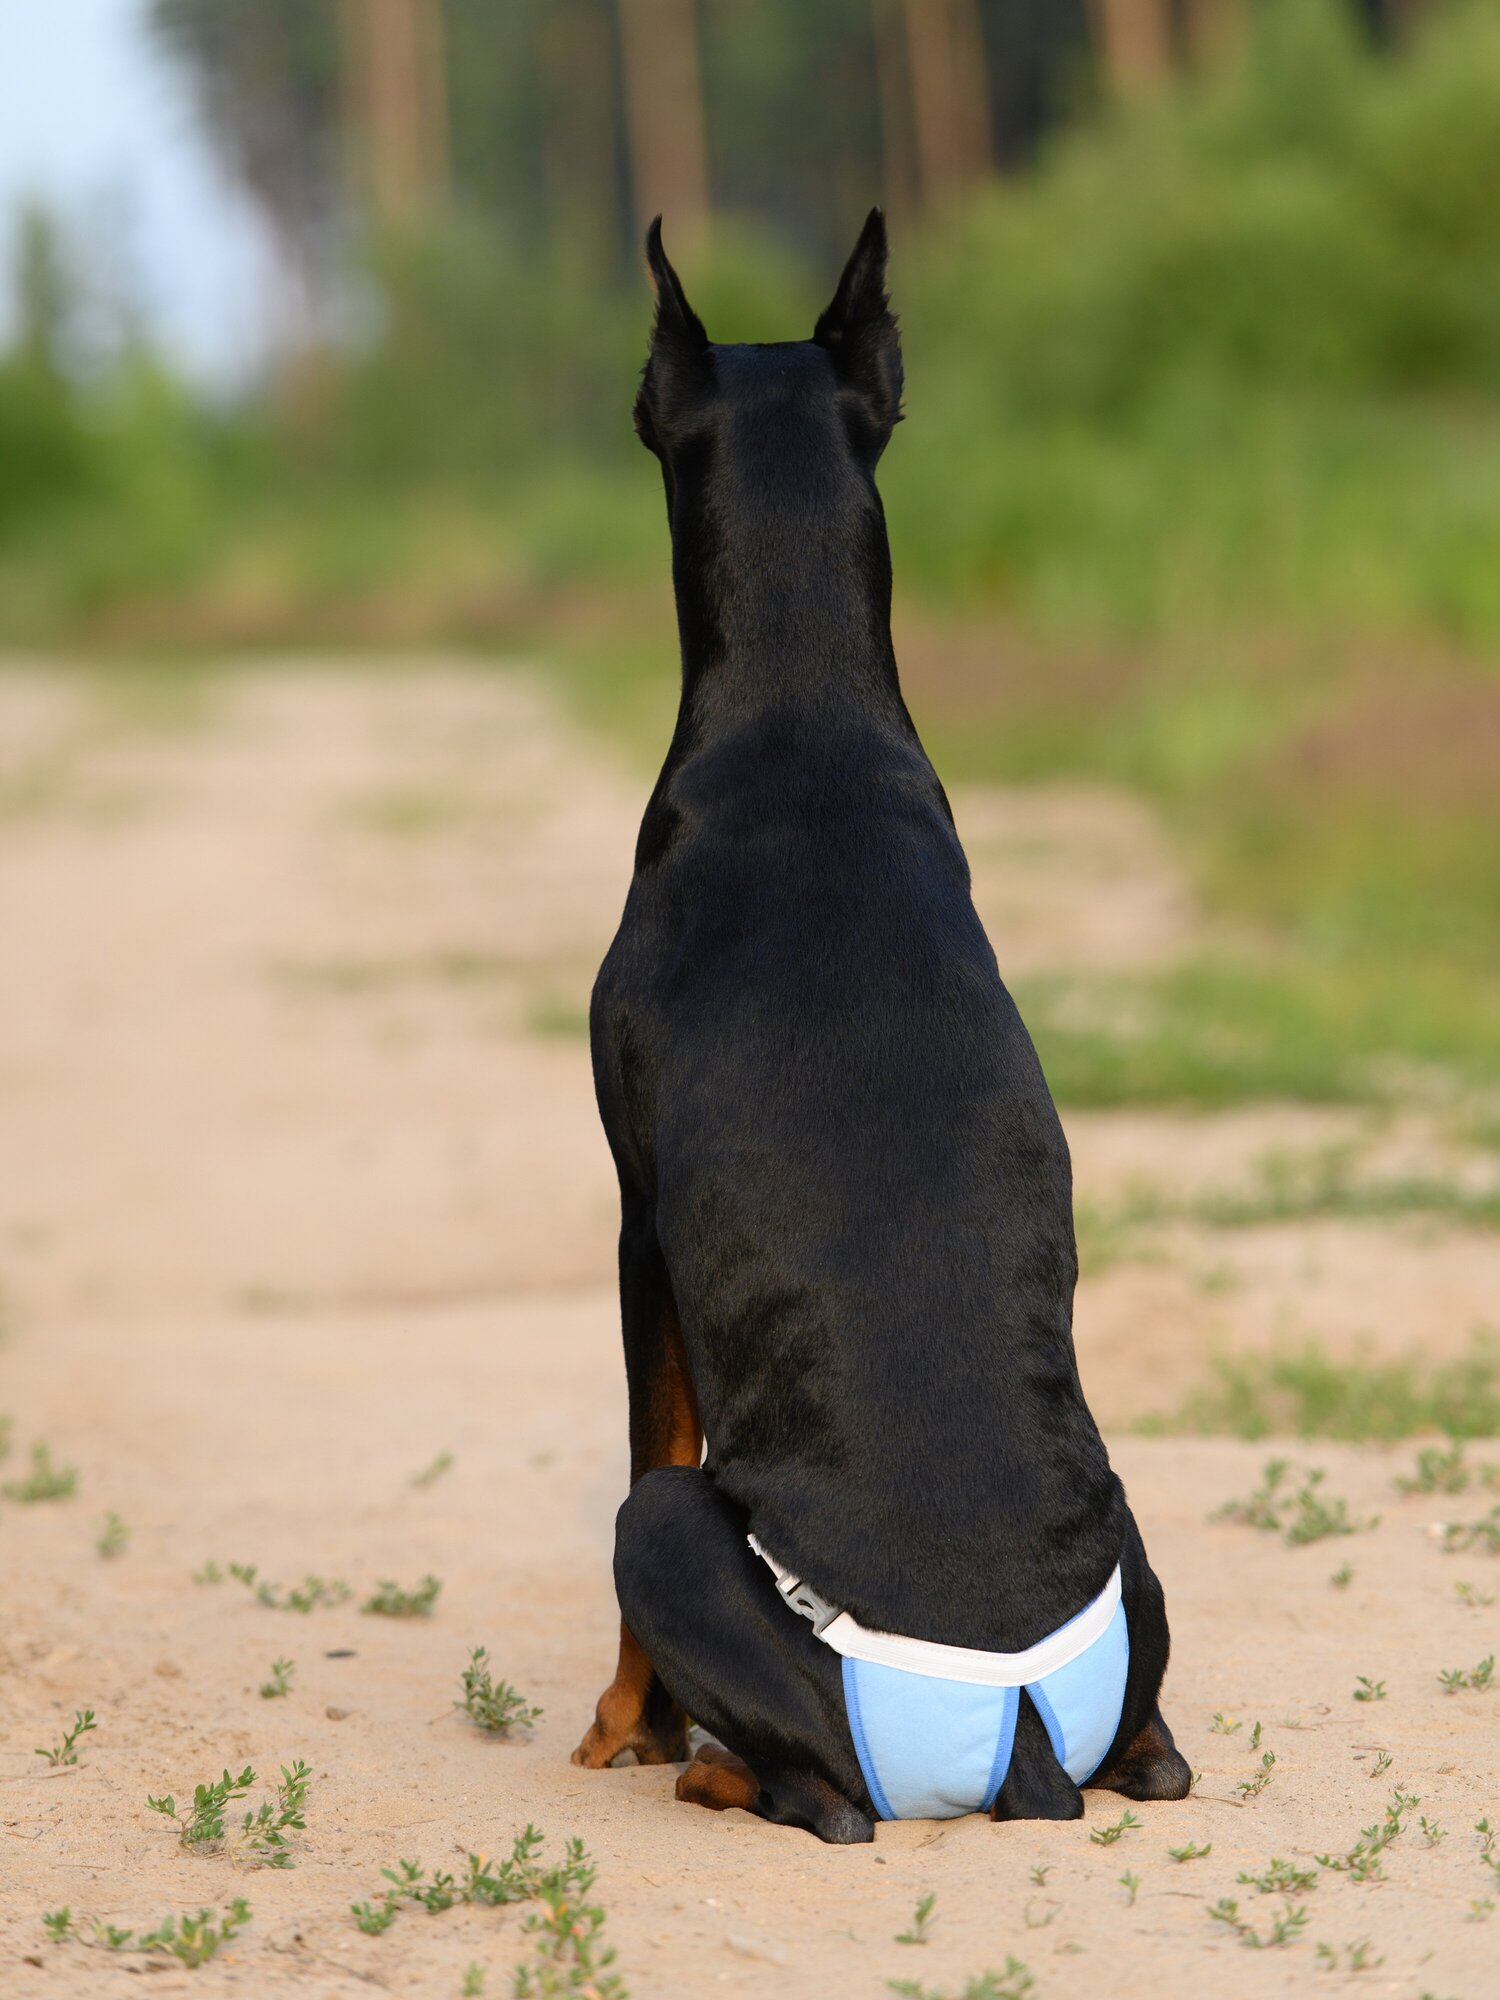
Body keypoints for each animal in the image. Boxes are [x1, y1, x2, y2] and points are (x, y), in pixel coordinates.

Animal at [571, 209, 1191, 1842]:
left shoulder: (637, 1218)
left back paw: (712, 1763)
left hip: (681, 1542)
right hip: (1133, 1554)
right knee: (1159, 1756)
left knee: (822, 1789)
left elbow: (651, 1424)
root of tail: (1022, 1741)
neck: (805, 714)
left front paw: (619, 1725)